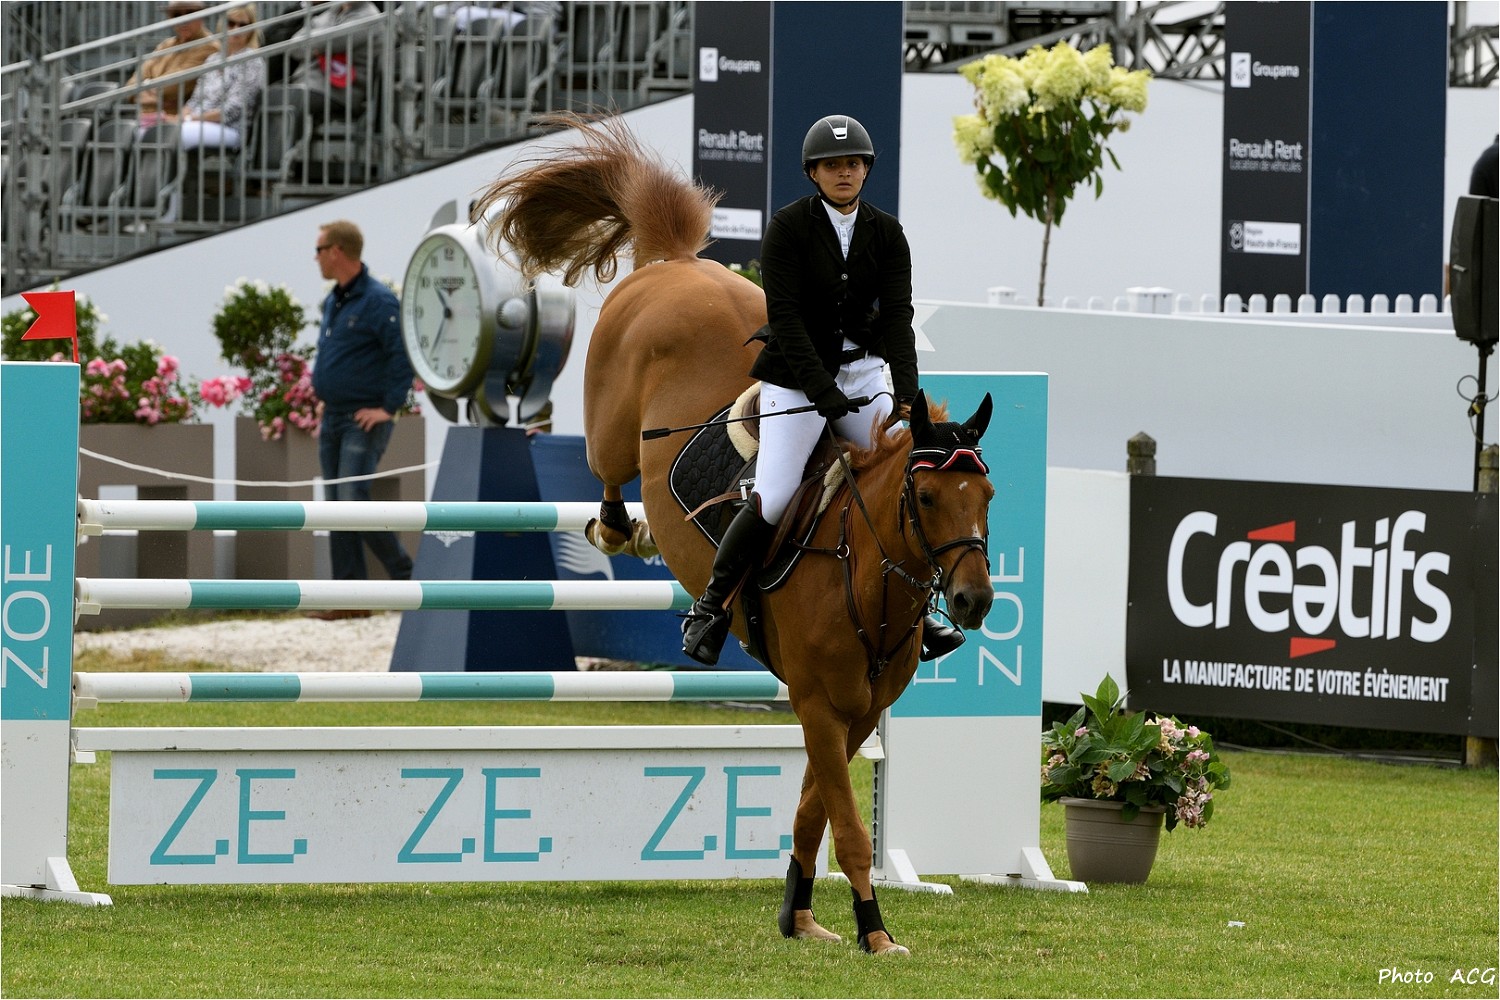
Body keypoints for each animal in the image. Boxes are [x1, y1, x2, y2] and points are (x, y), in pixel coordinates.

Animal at [473, 114, 996, 955]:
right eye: (923, 495)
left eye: (985, 494)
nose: (976, 602)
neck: (866, 574)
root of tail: (679, 264)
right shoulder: (816, 702)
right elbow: (850, 827)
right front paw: (875, 932)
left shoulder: (854, 713)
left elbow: (815, 810)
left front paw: (802, 913)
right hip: (611, 428)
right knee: (608, 476)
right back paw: (629, 536)